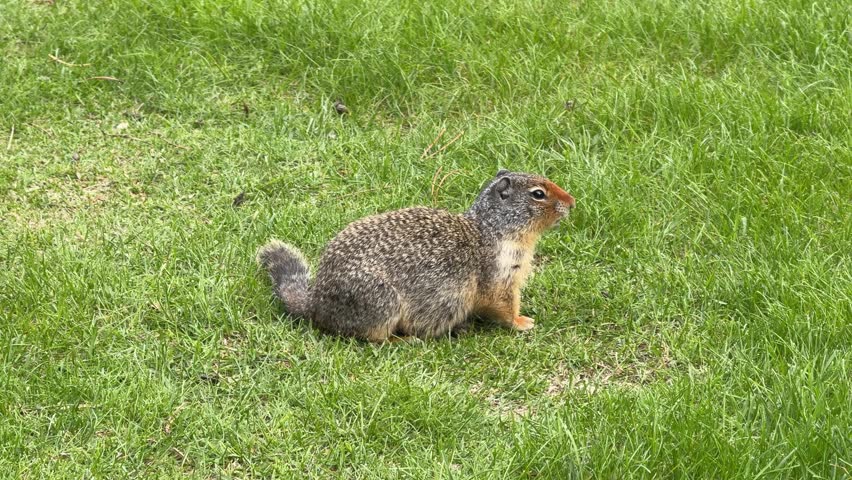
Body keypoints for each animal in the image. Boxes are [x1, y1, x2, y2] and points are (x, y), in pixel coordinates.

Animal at [257, 170, 576, 342]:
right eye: (538, 193)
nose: (572, 202)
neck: (491, 229)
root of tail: (315, 303)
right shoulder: (501, 271)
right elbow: (503, 304)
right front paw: (523, 322)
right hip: (381, 303)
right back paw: (404, 340)